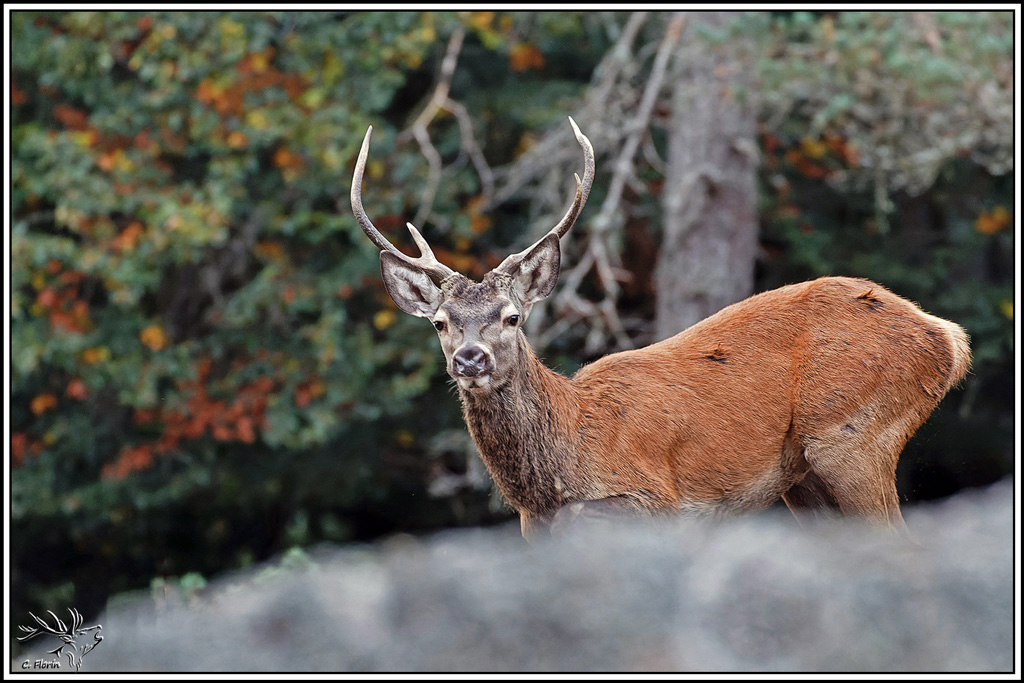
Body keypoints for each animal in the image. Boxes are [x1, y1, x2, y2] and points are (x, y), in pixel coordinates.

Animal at [350, 117, 971, 540]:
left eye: (512, 316)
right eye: (439, 323)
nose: (471, 359)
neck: (560, 468)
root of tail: (945, 338)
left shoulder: (663, 499)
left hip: (855, 432)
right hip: (807, 476)